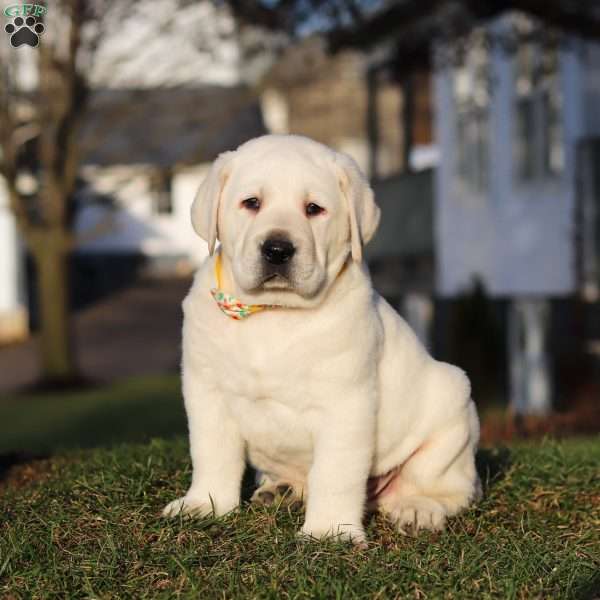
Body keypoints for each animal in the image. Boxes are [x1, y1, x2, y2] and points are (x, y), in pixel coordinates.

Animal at [162, 135, 480, 544]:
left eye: (314, 209)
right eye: (252, 203)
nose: (277, 249)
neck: (274, 312)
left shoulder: (345, 402)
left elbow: (335, 471)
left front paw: (329, 532)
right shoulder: (207, 390)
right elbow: (212, 452)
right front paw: (205, 505)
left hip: (452, 412)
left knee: (448, 487)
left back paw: (418, 508)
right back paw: (283, 490)